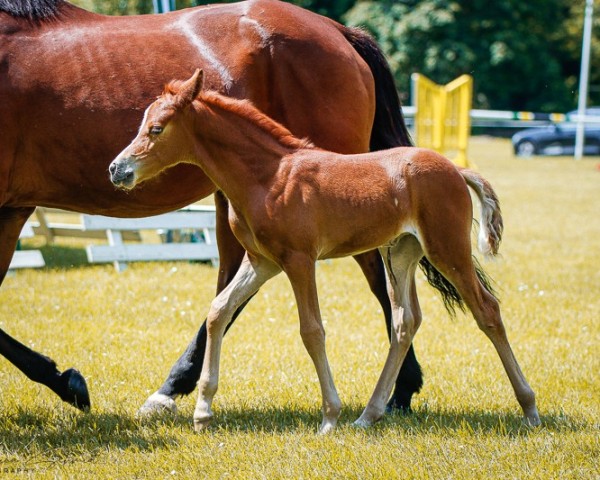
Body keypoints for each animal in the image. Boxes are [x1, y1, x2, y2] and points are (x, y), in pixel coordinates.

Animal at [0, 0, 424, 412]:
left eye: (156, 128)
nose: (116, 168)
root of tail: (339, 31)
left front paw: (65, 382)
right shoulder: (11, 209)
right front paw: (64, 380)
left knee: (375, 275)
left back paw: (397, 391)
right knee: (234, 286)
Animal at [110, 70, 540, 432]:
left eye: (156, 128)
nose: (117, 169)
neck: (268, 175)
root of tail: (455, 169)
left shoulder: (299, 260)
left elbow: (312, 330)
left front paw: (329, 417)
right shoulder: (262, 262)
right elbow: (218, 312)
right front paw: (202, 412)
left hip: (446, 248)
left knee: (487, 310)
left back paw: (529, 408)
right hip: (401, 253)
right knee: (405, 322)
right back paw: (368, 415)